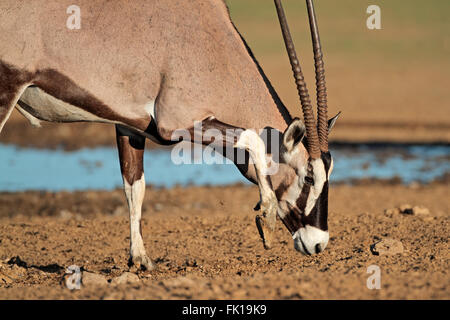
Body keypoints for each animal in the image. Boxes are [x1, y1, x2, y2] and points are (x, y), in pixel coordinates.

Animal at [0, 0, 338, 270]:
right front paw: (265, 219)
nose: (319, 243)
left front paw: (140, 259)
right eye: (309, 176)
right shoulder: (176, 123)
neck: (213, 46)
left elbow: (135, 186)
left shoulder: (130, 125)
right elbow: (252, 138)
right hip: (8, 87)